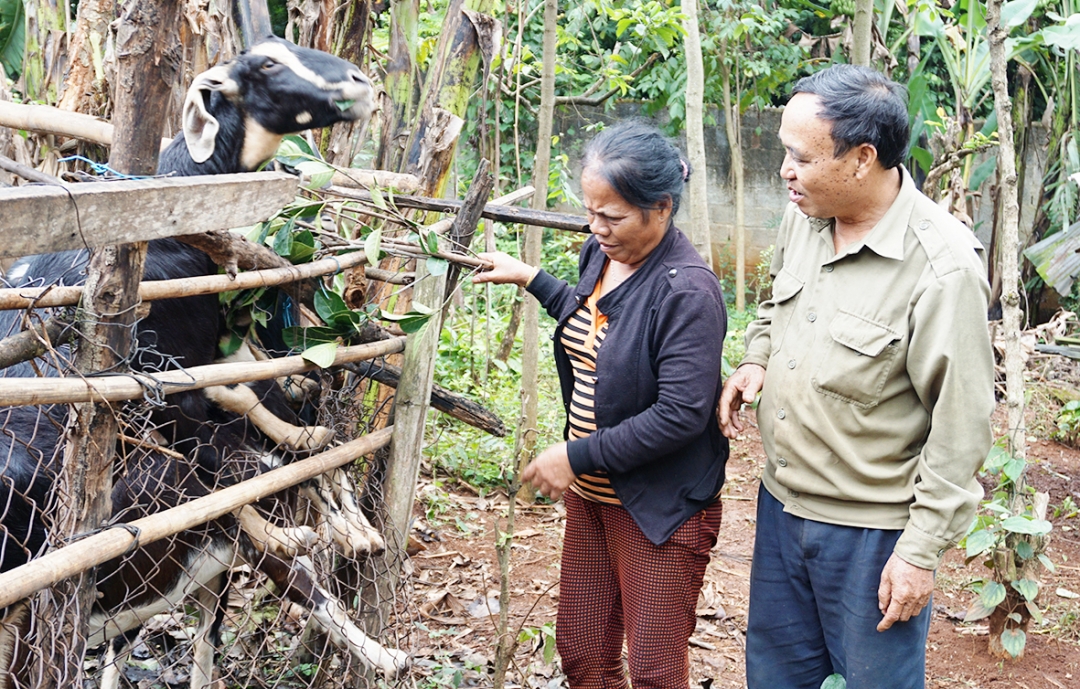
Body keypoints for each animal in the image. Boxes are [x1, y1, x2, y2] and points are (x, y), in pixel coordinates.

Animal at [0, 36, 406, 686]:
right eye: (265, 63)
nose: (360, 84)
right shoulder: (180, 385)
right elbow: (252, 463)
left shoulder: (225, 360)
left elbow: (279, 434)